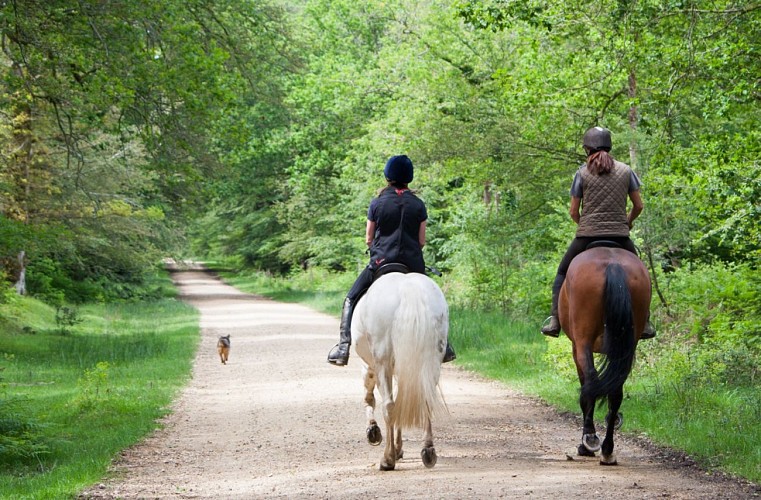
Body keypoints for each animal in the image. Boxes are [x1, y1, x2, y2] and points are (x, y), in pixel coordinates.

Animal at [352, 272, 449, 471]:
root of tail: (409, 288)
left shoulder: (370, 366)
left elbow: (369, 397)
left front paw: (373, 431)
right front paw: (398, 447)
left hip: (383, 361)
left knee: (389, 406)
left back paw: (387, 459)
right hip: (431, 361)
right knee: (424, 399)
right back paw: (428, 452)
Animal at [558, 245, 651, 465]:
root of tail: (613, 264)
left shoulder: (576, 347)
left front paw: (586, 443)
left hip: (583, 341)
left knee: (591, 383)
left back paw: (590, 440)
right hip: (628, 343)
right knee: (616, 391)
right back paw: (608, 449)